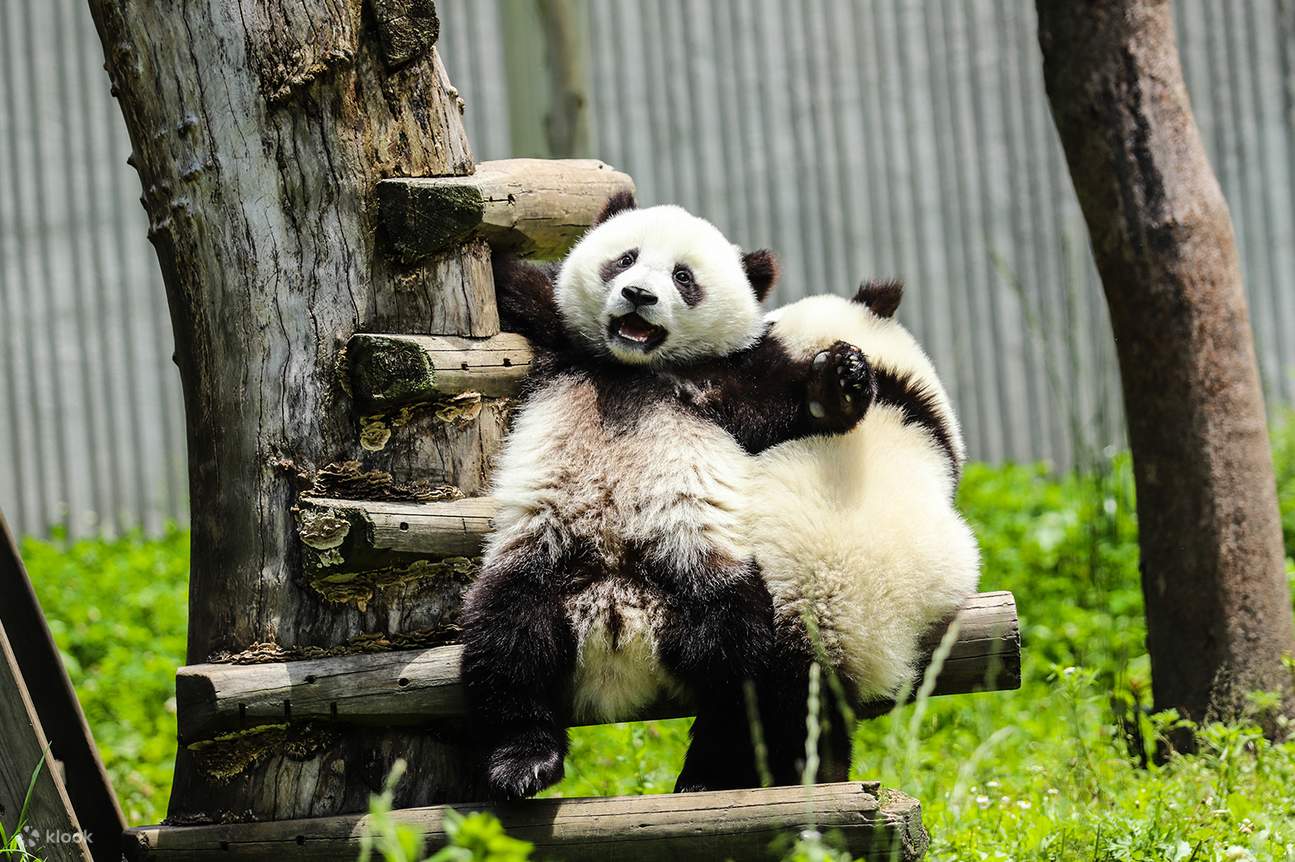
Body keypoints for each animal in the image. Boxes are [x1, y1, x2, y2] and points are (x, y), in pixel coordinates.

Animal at [459, 192, 876, 800]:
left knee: (743, 668)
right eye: (625, 258)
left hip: (707, 574)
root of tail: (620, 626)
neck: (634, 368)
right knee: (508, 642)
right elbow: (514, 285)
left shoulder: (727, 381)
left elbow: (795, 404)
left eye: (684, 277)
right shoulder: (554, 330)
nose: (639, 295)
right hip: (541, 560)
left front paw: (843, 376)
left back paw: (710, 774)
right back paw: (524, 761)